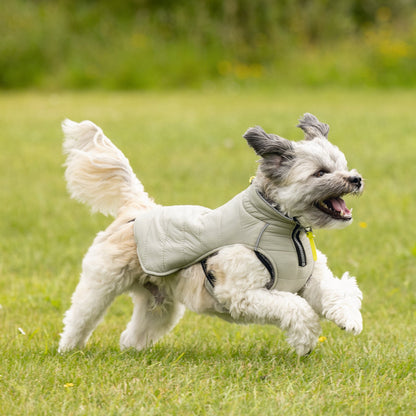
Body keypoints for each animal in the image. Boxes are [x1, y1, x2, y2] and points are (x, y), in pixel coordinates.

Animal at [58, 114, 364, 354]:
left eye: (342, 166)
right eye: (320, 173)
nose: (356, 179)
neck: (286, 231)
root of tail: (138, 207)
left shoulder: (309, 280)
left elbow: (335, 292)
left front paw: (349, 319)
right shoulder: (242, 293)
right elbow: (297, 308)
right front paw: (306, 339)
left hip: (159, 305)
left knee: (135, 331)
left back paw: (132, 350)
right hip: (101, 284)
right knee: (79, 317)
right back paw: (69, 349)